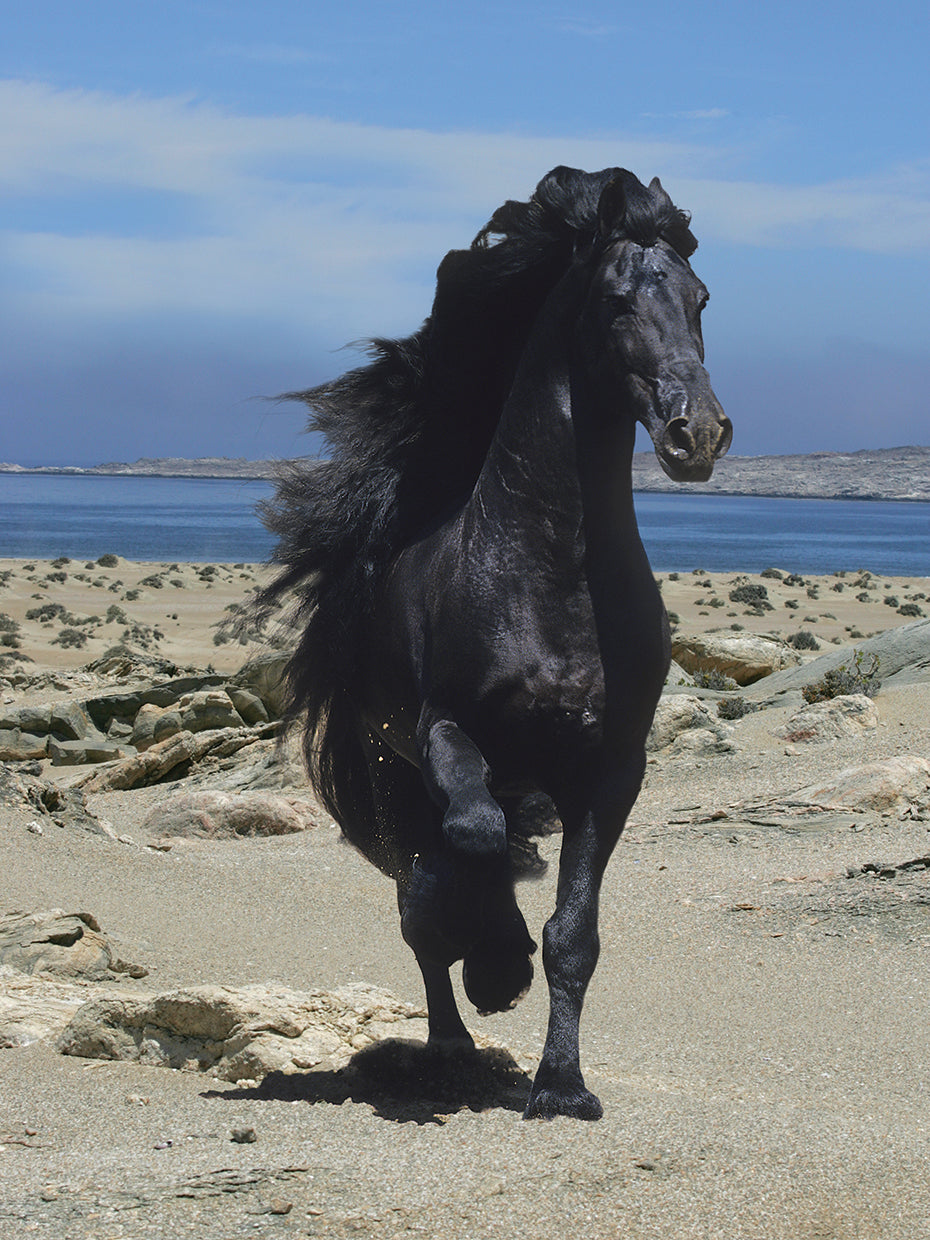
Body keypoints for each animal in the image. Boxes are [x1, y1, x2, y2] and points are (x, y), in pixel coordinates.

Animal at [260, 166, 732, 1120]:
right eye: (618, 300)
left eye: (701, 299)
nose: (695, 432)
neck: (551, 578)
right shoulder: (447, 733)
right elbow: (473, 841)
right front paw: (497, 968)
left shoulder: (609, 772)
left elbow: (573, 934)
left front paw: (562, 1084)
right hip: (395, 778)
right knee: (422, 901)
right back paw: (454, 1033)